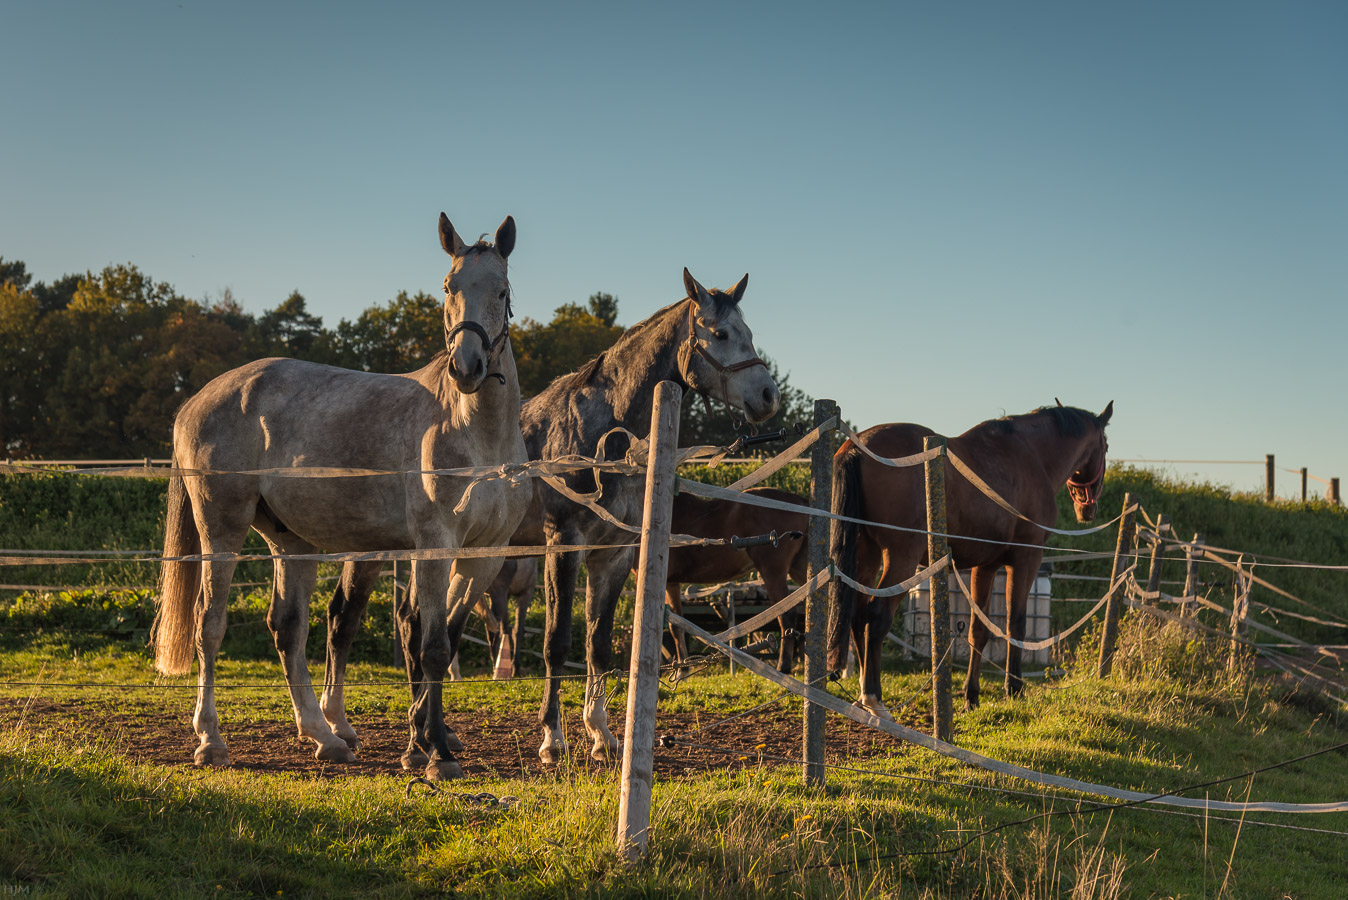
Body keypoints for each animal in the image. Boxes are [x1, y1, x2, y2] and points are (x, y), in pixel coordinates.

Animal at [150, 212, 523, 781]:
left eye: (501, 291)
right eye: (448, 287)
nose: (466, 367)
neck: (474, 431)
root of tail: (197, 400)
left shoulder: (485, 554)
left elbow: (446, 639)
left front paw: (424, 738)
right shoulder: (434, 547)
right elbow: (433, 647)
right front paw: (435, 751)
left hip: (291, 542)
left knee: (287, 629)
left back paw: (323, 735)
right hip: (222, 531)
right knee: (209, 626)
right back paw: (211, 740)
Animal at [520, 266, 787, 759]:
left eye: (749, 333)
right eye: (721, 334)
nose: (768, 397)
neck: (607, 435)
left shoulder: (615, 554)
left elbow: (598, 643)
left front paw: (601, 734)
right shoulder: (563, 545)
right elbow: (556, 642)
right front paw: (552, 738)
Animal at [660, 487, 803, 670]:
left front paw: (682, 669)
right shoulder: (672, 583)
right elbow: (676, 624)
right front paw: (683, 667)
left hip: (773, 572)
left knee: (787, 613)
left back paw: (783, 667)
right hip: (798, 568)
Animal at [824, 401, 1110, 716]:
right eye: (1106, 446)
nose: (1088, 508)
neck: (1031, 455)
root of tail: (855, 447)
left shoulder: (985, 566)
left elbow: (979, 630)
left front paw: (971, 695)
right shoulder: (1026, 558)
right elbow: (1015, 624)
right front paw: (1014, 688)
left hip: (867, 555)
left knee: (858, 613)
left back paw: (863, 694)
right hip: (901, 559)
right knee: (876, 617)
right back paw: (874, 697)